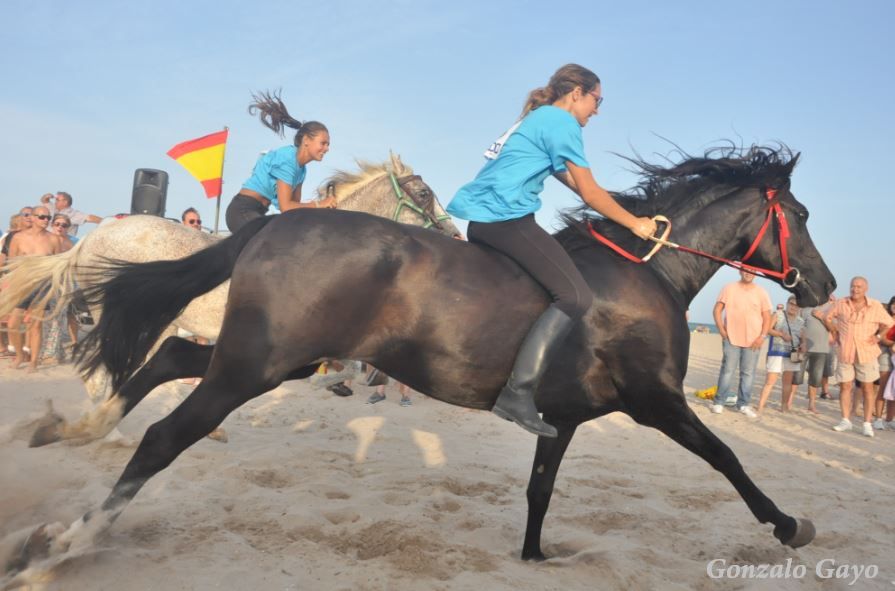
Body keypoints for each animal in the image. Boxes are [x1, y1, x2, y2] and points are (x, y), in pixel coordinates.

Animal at [7, 145, 836, 580]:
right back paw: (63, 542)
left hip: (274, 358)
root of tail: (271, 229)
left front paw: (532, 556)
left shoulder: (562, 418)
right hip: (258, 365)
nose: (824, 287)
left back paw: (66, 438)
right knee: (161, 437)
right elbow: (725, 456)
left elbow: (539, 490)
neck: (645, 273)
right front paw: (788, 524)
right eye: (796, 215)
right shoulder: (656, 399)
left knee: (171, 355)